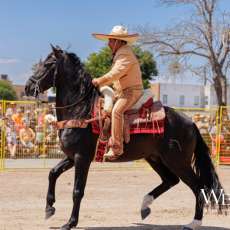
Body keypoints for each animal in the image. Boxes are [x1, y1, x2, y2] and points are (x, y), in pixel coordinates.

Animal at [24, 46, 226, 230]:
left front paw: (70, 222)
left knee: (198, 187)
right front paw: (49, 209)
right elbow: (53, 173)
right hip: (155, 158)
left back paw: (194, 223)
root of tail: (190, 122)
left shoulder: (82, 158)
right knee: (171, 180)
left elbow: (77, 190)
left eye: (48, 64)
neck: (81, 110)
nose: (28, 87)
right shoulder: (71, 157)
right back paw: (145, 206)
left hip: (178, 162)